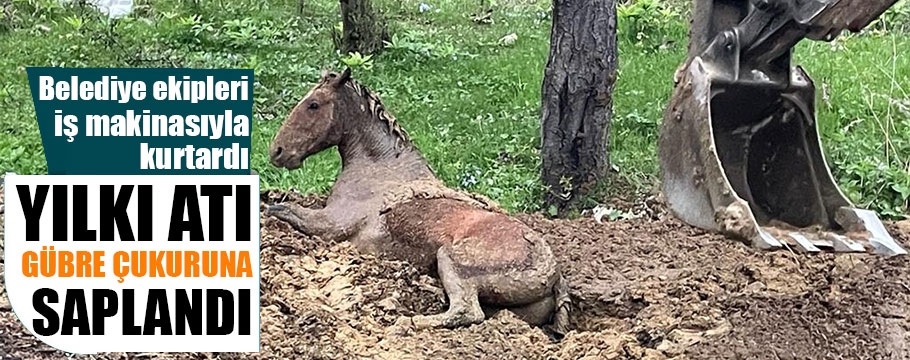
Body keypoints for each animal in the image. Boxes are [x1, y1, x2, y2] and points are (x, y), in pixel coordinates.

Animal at [266, 68, 568, 334]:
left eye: (314, 104)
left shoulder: (331, 224)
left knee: (466, 311)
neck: (379, 164)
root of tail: (552, 275)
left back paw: (405, 323)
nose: (277, 151)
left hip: (450, 259)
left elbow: (280, 209)